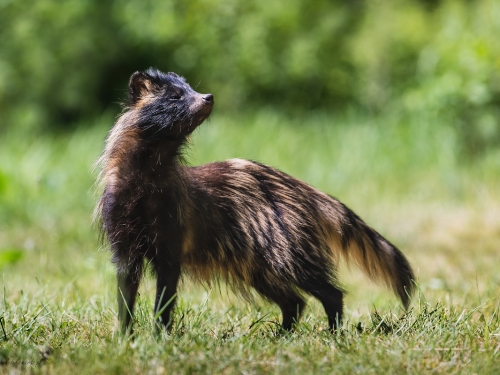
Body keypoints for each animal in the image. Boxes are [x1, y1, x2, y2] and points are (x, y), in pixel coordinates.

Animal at [94, 67, 414, 334]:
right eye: (175, 96)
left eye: (190, 88)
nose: (208, 97)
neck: (148, 175)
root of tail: (300, 188)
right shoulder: (122, 229)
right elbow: (126, 289)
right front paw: (125, 335)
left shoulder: (172, 225)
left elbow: (165, 291)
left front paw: (159, 335)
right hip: (257, 260)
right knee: (292, 299)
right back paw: (284, 334)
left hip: (283, 241)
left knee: (322, 288)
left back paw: (332, 331)